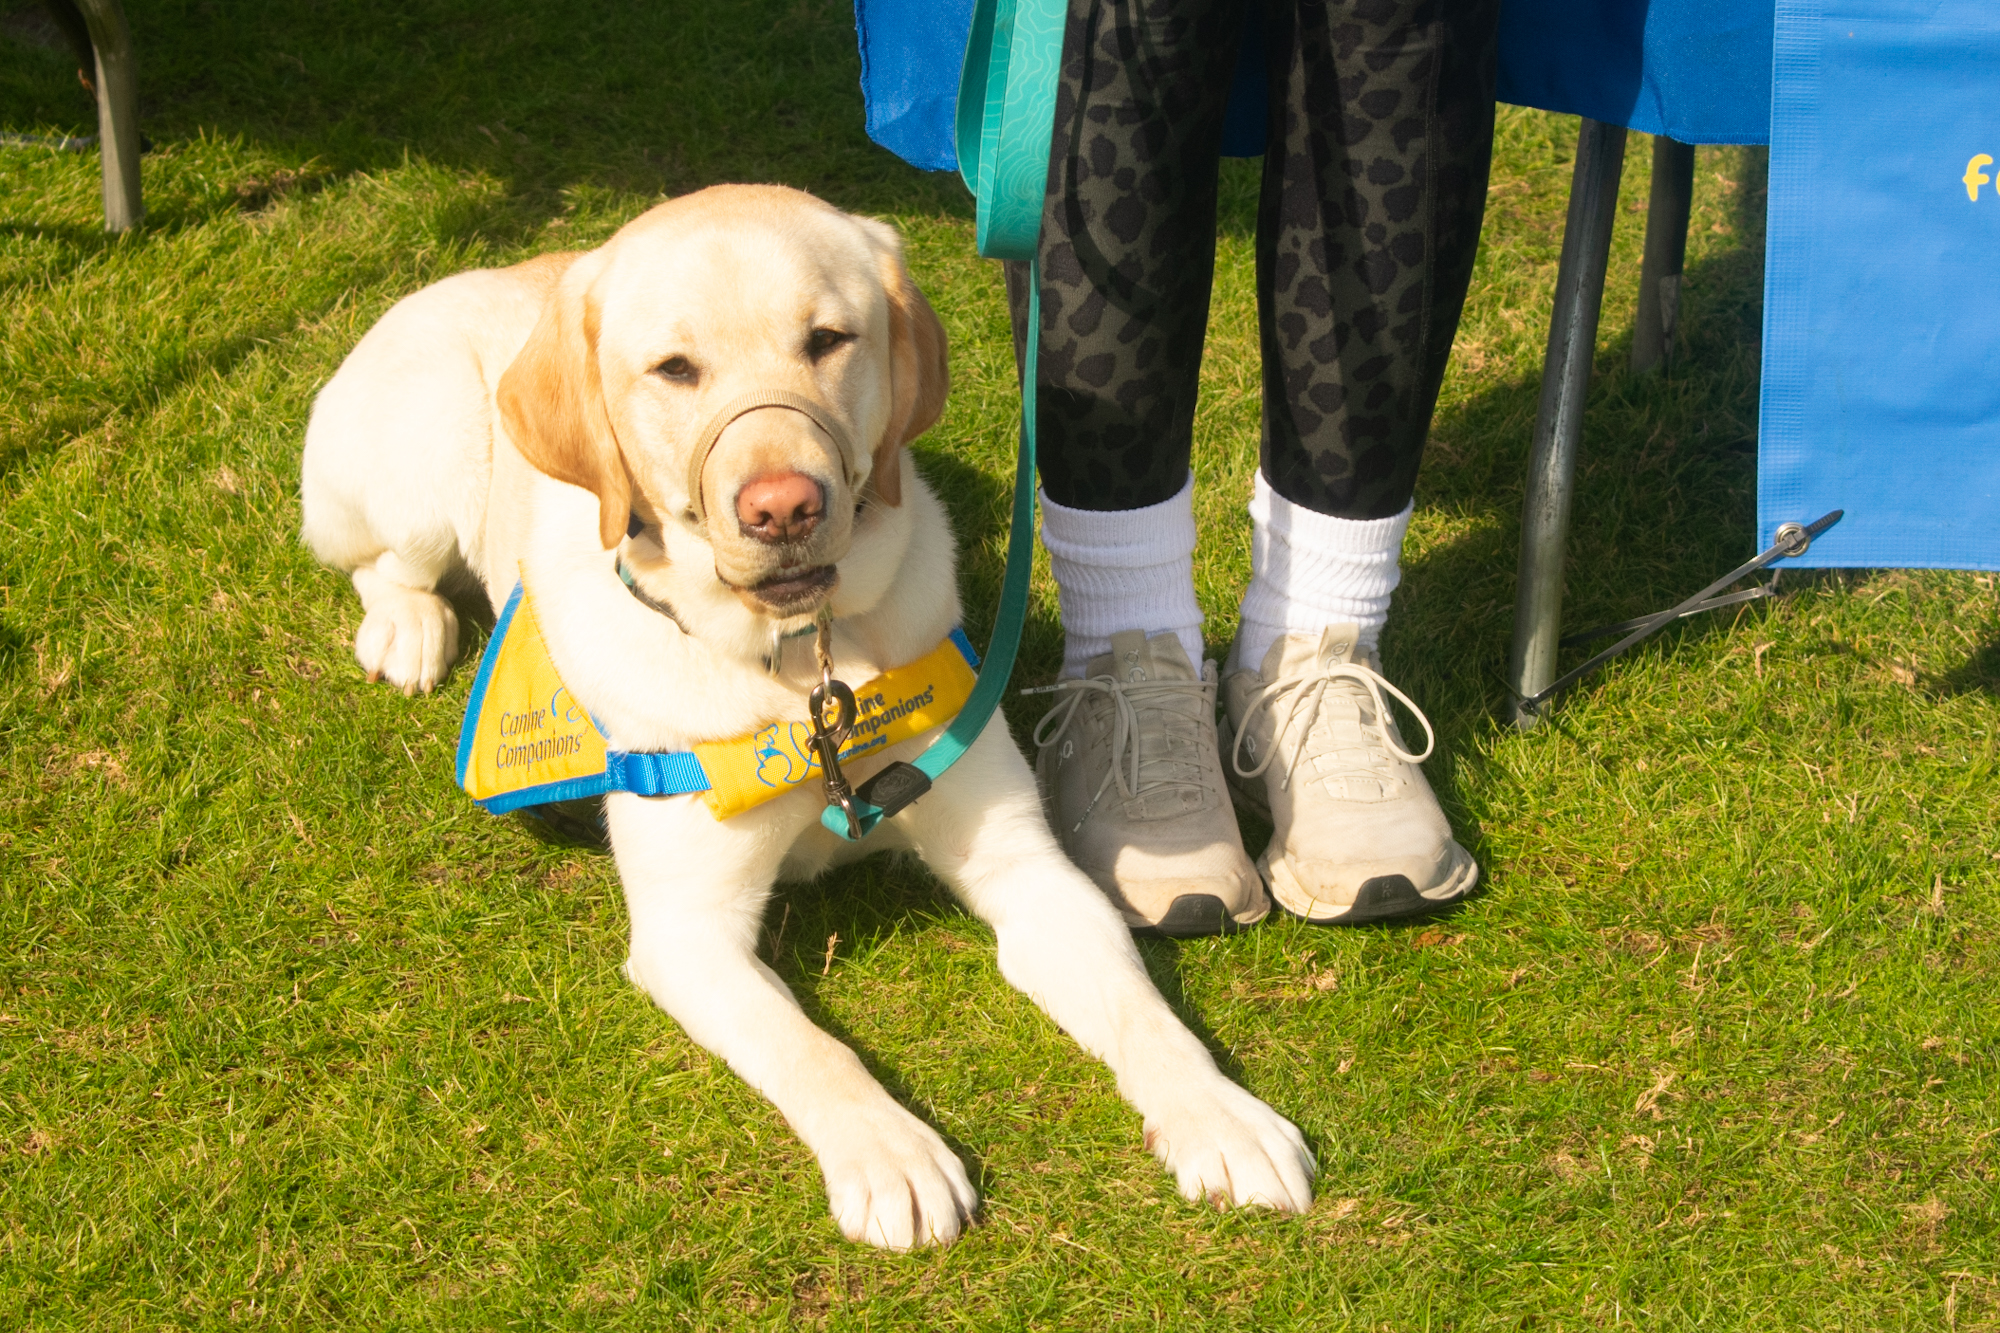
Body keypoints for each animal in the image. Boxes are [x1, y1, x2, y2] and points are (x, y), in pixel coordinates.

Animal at [290, 182, 1304, 1240]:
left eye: (828, 339)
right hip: (431, 460)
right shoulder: (688, 930)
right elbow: (810, 1046)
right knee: (379, 561)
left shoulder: (1027, 866)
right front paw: (891, 1152)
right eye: (675, 368)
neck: (798, 666)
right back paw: (407, 629)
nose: (783, 507)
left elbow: (1141, 1006)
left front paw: (1220, 1114)